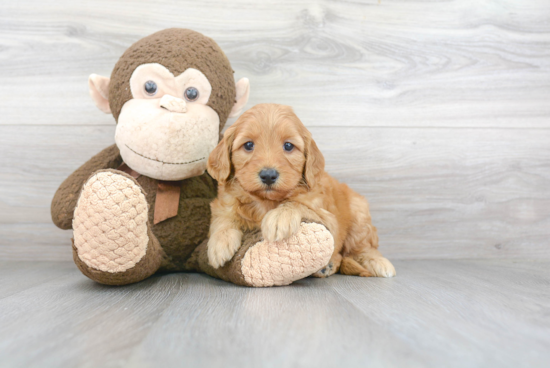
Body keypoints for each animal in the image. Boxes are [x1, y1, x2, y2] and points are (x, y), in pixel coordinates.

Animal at [207, 102, 396, 278]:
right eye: (248, 145)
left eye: (288, 146)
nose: (268, 175)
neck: (266, 202)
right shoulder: (223, 203)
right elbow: (224, 216)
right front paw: (220, 242)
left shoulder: (328, 218)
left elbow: (298, 204)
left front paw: (279, 217)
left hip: (359, 215)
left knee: (362, 248)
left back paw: (377, 262)